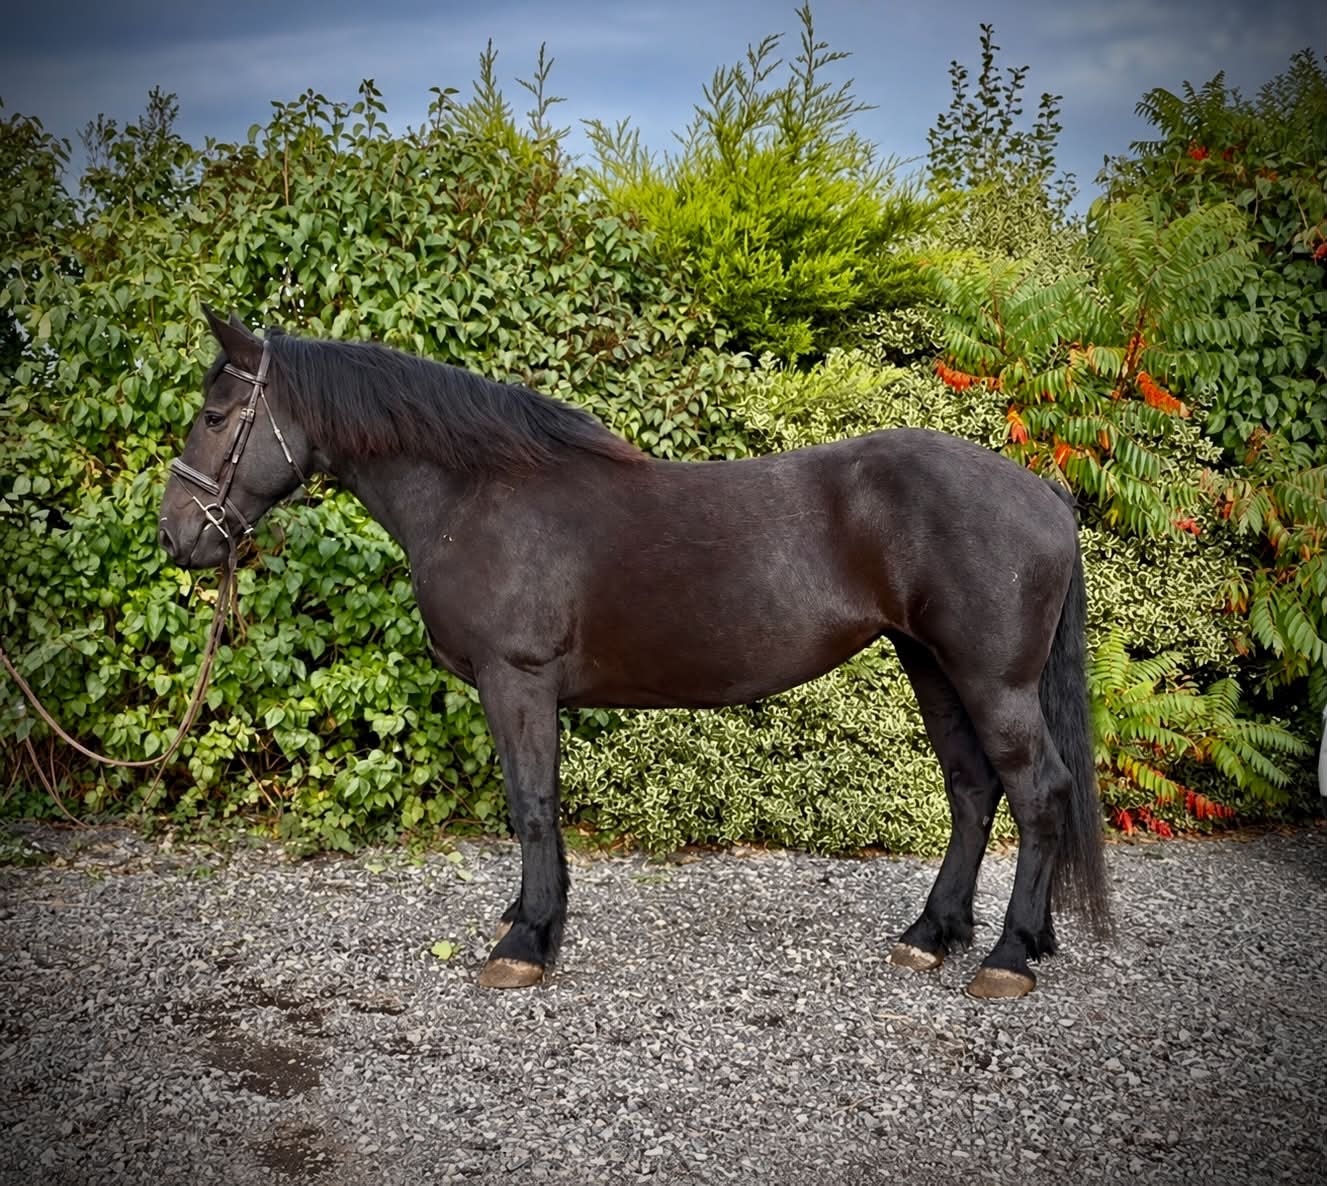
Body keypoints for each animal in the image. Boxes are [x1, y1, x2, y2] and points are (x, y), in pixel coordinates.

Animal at [158, 308, 1112, 998]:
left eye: (215, 415)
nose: (176, 535)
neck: (477, 494)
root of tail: (1041, 493)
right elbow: (536, 807)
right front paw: (532, 918)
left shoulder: (516, 682)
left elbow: (531, 806)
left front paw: (524, 943)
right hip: (931, 667)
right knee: (972, 791)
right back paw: (932, 935)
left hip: (992, 681)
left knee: (1038, 793)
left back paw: (1007, 958)